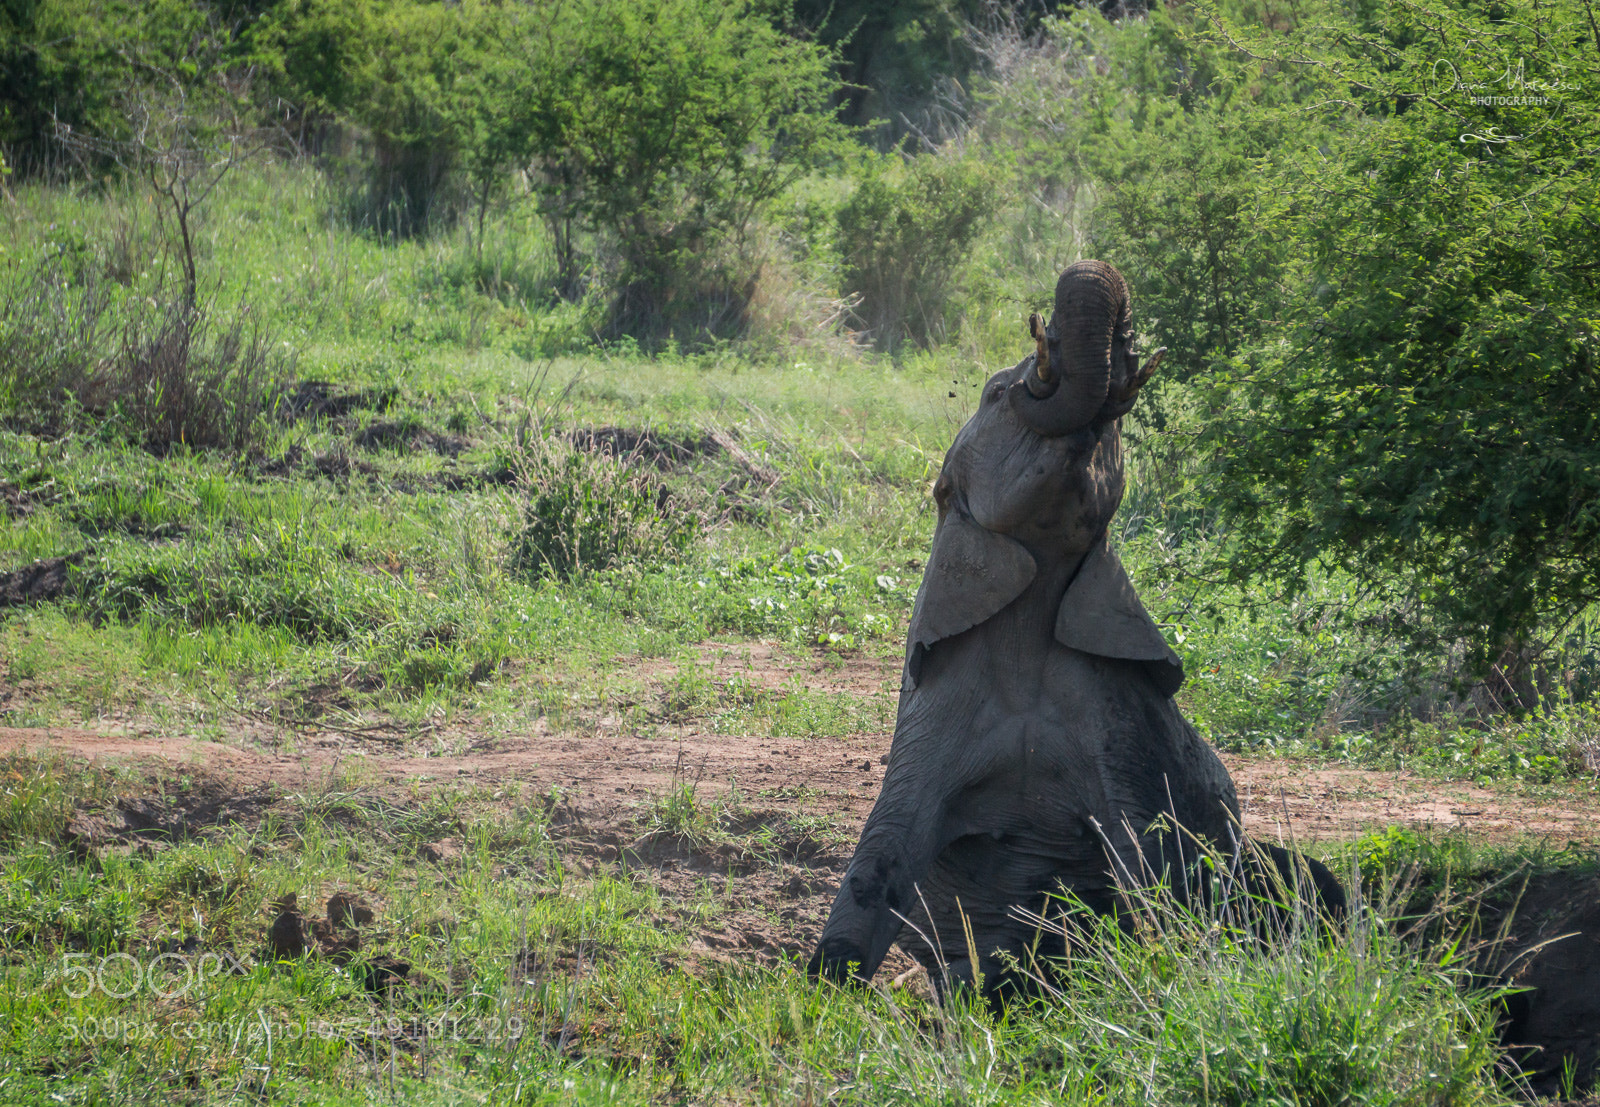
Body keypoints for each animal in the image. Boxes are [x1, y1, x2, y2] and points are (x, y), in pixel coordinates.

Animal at [808, 260, 1342, 997]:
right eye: (996, 393)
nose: (1100, 344)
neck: (1027, 636)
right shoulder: (932, 714)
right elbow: (884, 847)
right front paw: (823, 993)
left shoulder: (1115, 719)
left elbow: (1154, 853)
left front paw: (1181, 973)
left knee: (1307, 881)